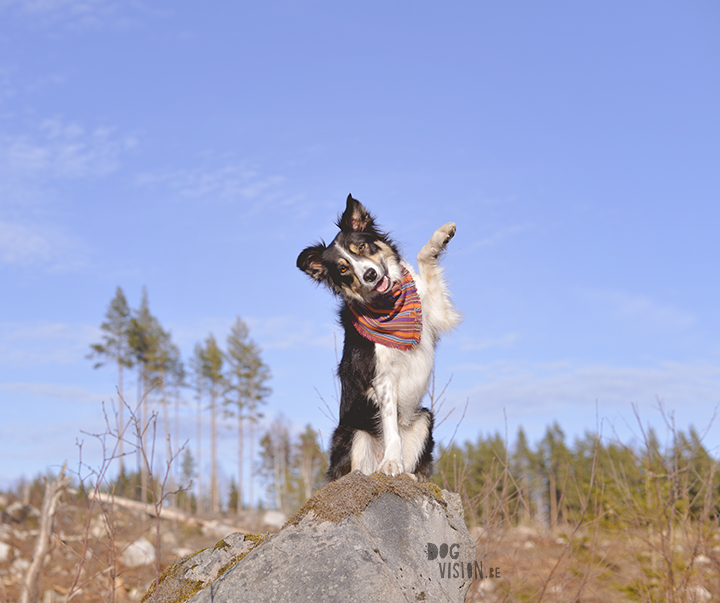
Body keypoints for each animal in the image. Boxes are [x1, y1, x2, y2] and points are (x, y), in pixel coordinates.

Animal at [298, 196, 462, 484]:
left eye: (362, 247)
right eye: (343, 268)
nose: (370, 275)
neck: (388, 305)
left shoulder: (436, 313)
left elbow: (423, 259)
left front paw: (441, 236)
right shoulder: (382, 378)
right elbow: (389, 424)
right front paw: (391, 462)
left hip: (423, 418)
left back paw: (410, 477)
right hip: (353, 433)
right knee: (357, 470)